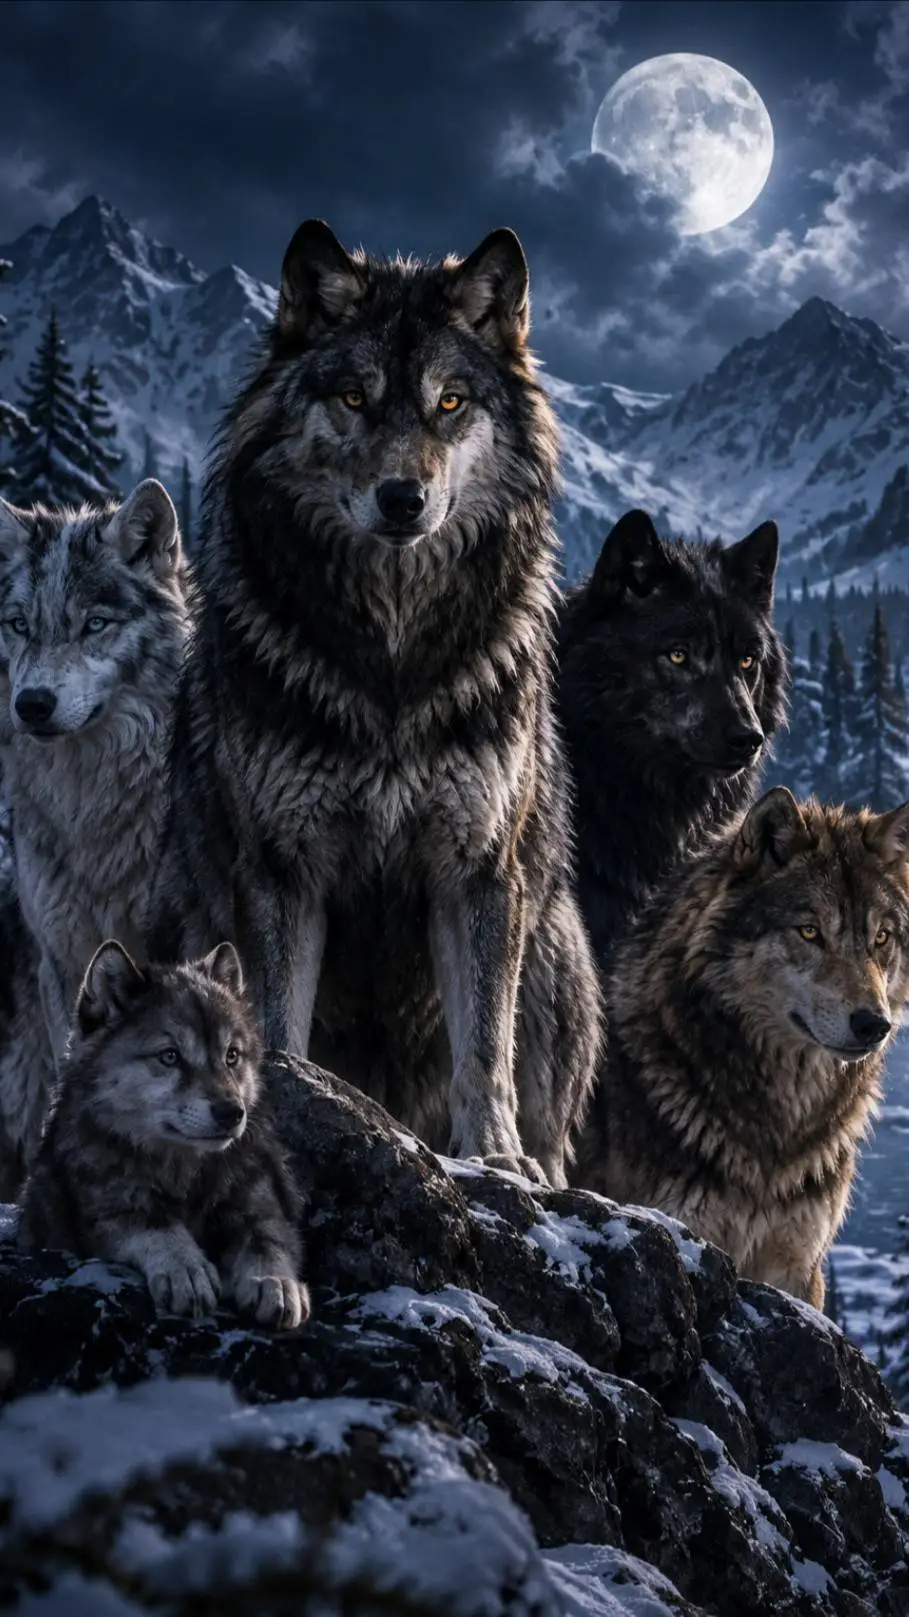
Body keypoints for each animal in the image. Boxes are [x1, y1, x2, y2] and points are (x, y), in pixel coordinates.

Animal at [18, 939, 308, 1330]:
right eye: (170, 1056)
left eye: (232, 1056)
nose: (232, 1113)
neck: (185, 1175)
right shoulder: (109, 1214)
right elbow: (157, 1226)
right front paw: (186, 1270)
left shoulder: (261, 1206)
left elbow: (267, 1241)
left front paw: (274, 1282)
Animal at [147, 218, 601, 1188]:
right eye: (354, 399)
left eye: (449, 403)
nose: (403, 498)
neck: (390, 659)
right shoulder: (283, 870)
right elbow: (275, 1024)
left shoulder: (476, 871)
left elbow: (484, 1044)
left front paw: (495, 1156)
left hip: (552, 948)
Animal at [575, 787, 909, 1308]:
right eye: (810, 931)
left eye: (881, 937)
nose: (875, 1024)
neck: (777, 1132)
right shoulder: (684, 1228)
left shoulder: (795, 1268)